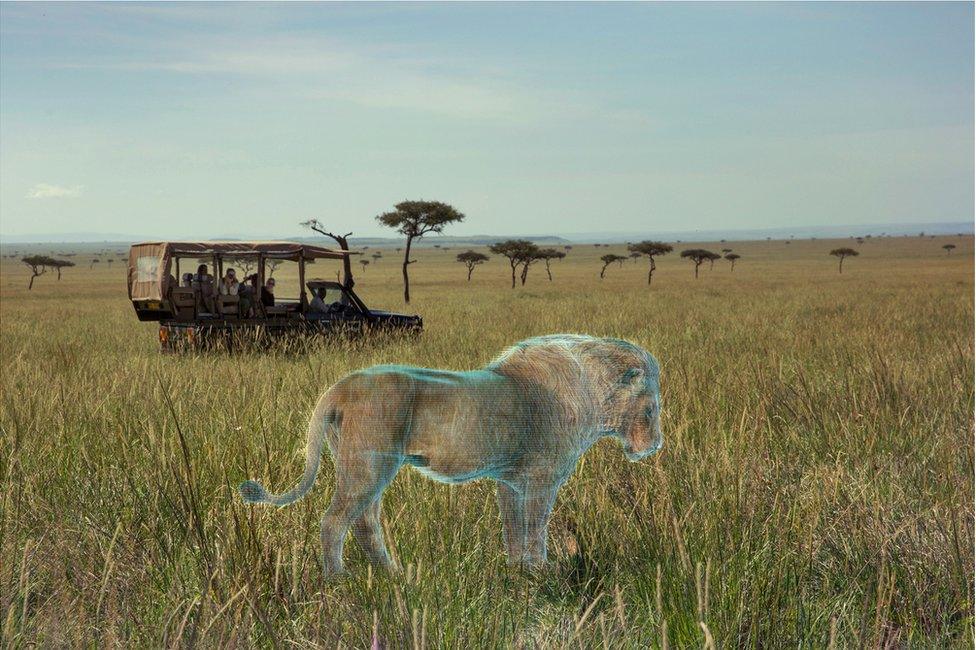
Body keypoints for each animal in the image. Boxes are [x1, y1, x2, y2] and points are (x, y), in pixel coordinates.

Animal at [237, 334, 664, 572]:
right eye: (650, 408)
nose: (655, 446)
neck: (593, 393)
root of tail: (338, 387)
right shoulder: (542, 480)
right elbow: (535, 528)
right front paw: (542, 572)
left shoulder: (511, 482)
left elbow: (513, 529)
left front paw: (518, 573)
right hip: (369, 466)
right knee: (334, 521)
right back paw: (337, 580)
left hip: (368, 467)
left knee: (364, 522)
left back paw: (392, 575)